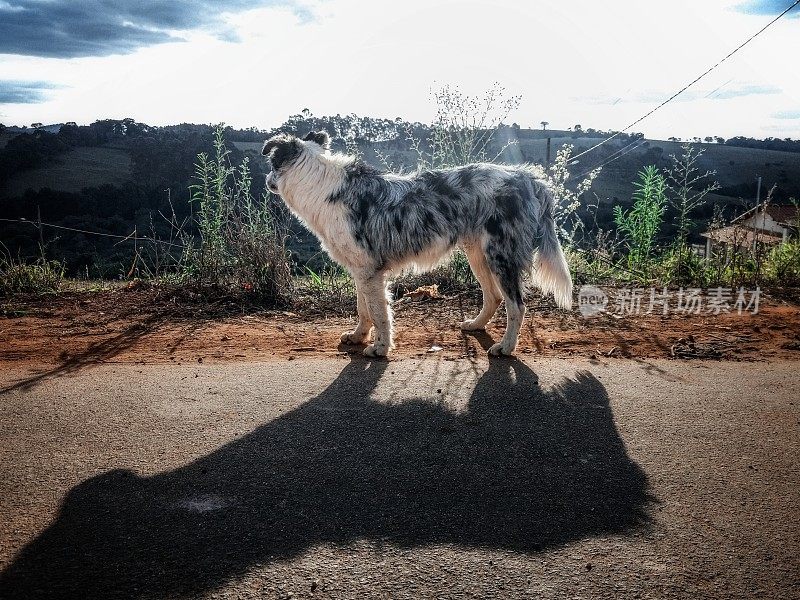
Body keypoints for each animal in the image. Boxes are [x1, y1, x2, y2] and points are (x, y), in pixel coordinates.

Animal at [266, 130, 572, 356]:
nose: (267, 179)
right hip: (478, 254)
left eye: (271, 164)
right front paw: (358, 336)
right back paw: (475, 325)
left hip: (501, 256)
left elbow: (379, 314)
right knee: (494, 297)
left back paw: (506, 347)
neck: (322, 185)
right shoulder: (360, 270)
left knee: (516, 306)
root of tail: (528, 178)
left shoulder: (370, 272)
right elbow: (363, 310)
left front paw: (380, 348)